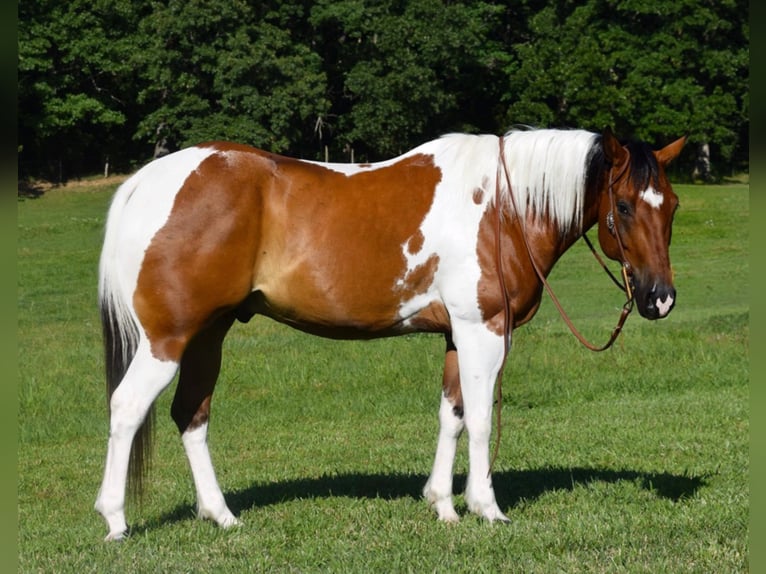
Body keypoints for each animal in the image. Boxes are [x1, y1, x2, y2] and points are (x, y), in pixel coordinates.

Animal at [93, 126, 688, 540]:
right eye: (624, 205)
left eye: (674, 206)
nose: (660, 298)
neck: (503, 205)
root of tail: (147, 181)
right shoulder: (483, 332)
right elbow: (479, 421)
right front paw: (486, 508)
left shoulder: (455, 337)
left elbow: (451, 417)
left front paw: (442, 505)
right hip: (168, 339)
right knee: (126, 408)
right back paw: (115, 520)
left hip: (207, 336)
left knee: (191, 415)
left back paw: (221, 516)